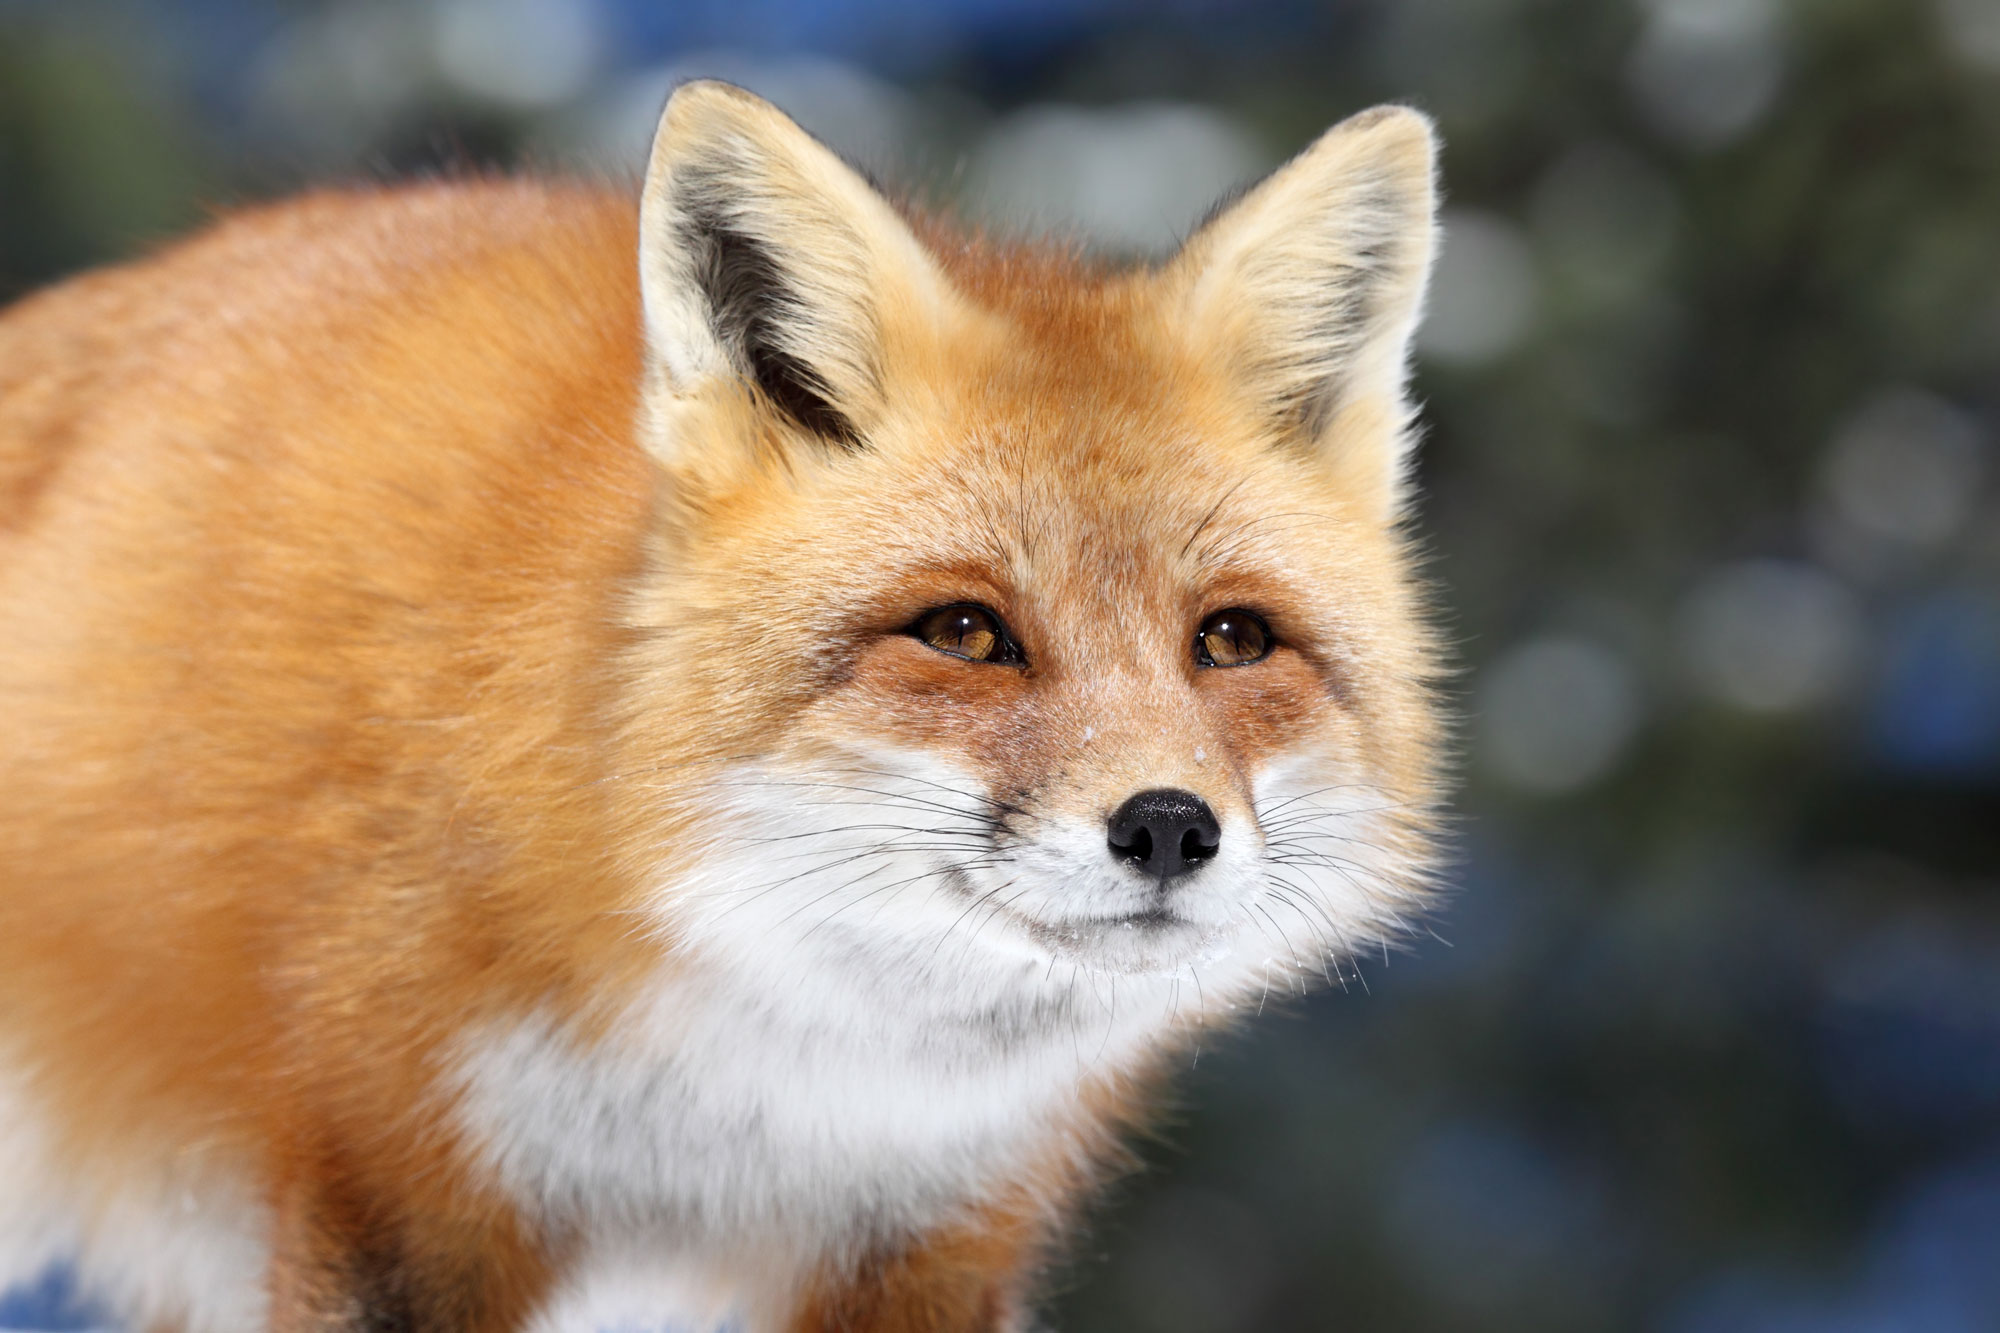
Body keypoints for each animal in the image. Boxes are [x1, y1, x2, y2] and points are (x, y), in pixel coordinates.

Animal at [0, 81, 1444, 1331]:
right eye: (964, 632)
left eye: (1232, 639)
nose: (1166, 827)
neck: (773, 1084)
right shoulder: (394, 1181)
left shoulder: (935, 1230)